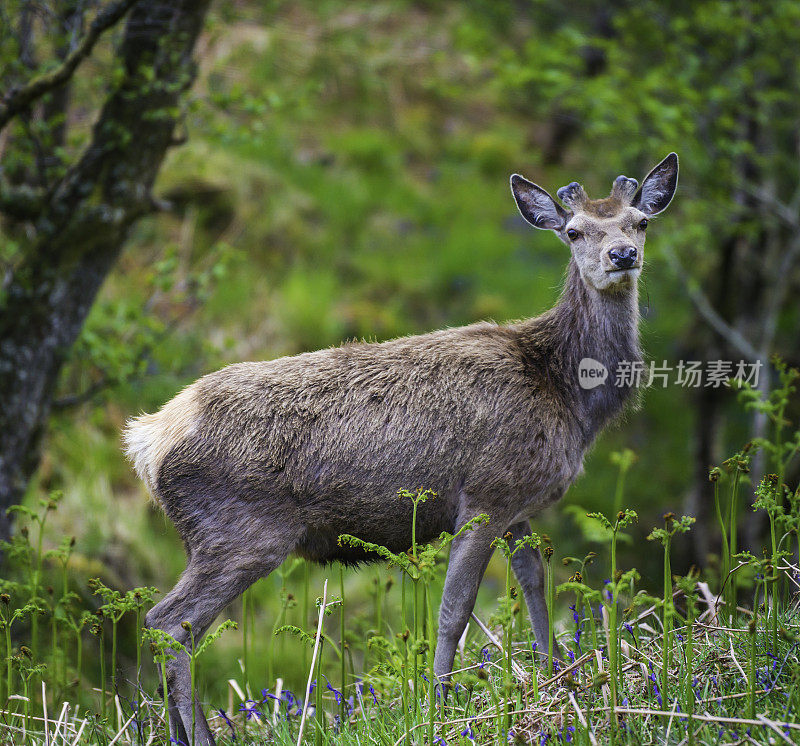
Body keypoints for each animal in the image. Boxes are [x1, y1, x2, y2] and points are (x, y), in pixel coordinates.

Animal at [125, 153, 676, 744]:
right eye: (574, 232)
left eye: (640, 221)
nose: (622, 255)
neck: (568, 394)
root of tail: (149, 439)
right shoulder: (487, 493)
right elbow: (455, 609)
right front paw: (441, 706)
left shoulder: (520, 504)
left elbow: (534, 583)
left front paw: (556, 676)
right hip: (239, 533)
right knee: (168, 623)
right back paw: (200, 734)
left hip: (209, 537)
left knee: (170, 628)